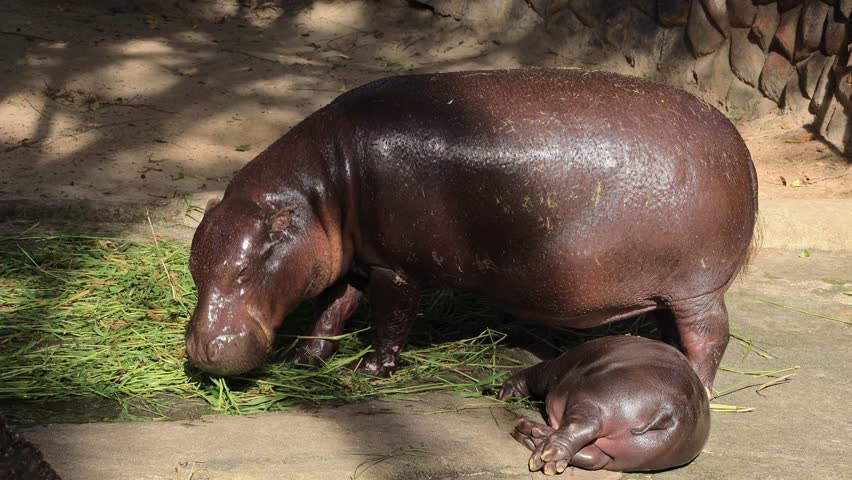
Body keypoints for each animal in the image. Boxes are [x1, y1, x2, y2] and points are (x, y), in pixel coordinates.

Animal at [185, 68, 758, 394]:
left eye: (243, 272)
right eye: (195, 269)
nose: (202, 351)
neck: (321, 192)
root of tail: (742, 149)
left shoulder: (394, 268)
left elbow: (389, 321)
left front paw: (368, 371)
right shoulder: (354, 258)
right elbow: (332, 310)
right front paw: (302, 358)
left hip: (700, 288)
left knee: (711, 337)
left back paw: (700, 386)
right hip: (670, 288)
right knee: (673, 327)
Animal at [499, 335, 710, 474]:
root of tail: (671, 411)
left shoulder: (552, 371)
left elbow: (532, 374)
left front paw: (506, 393)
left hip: (591, 399)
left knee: (585, 426)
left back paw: (541, 448)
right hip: (633, 455)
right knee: (595, 457)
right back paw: (531, 435)